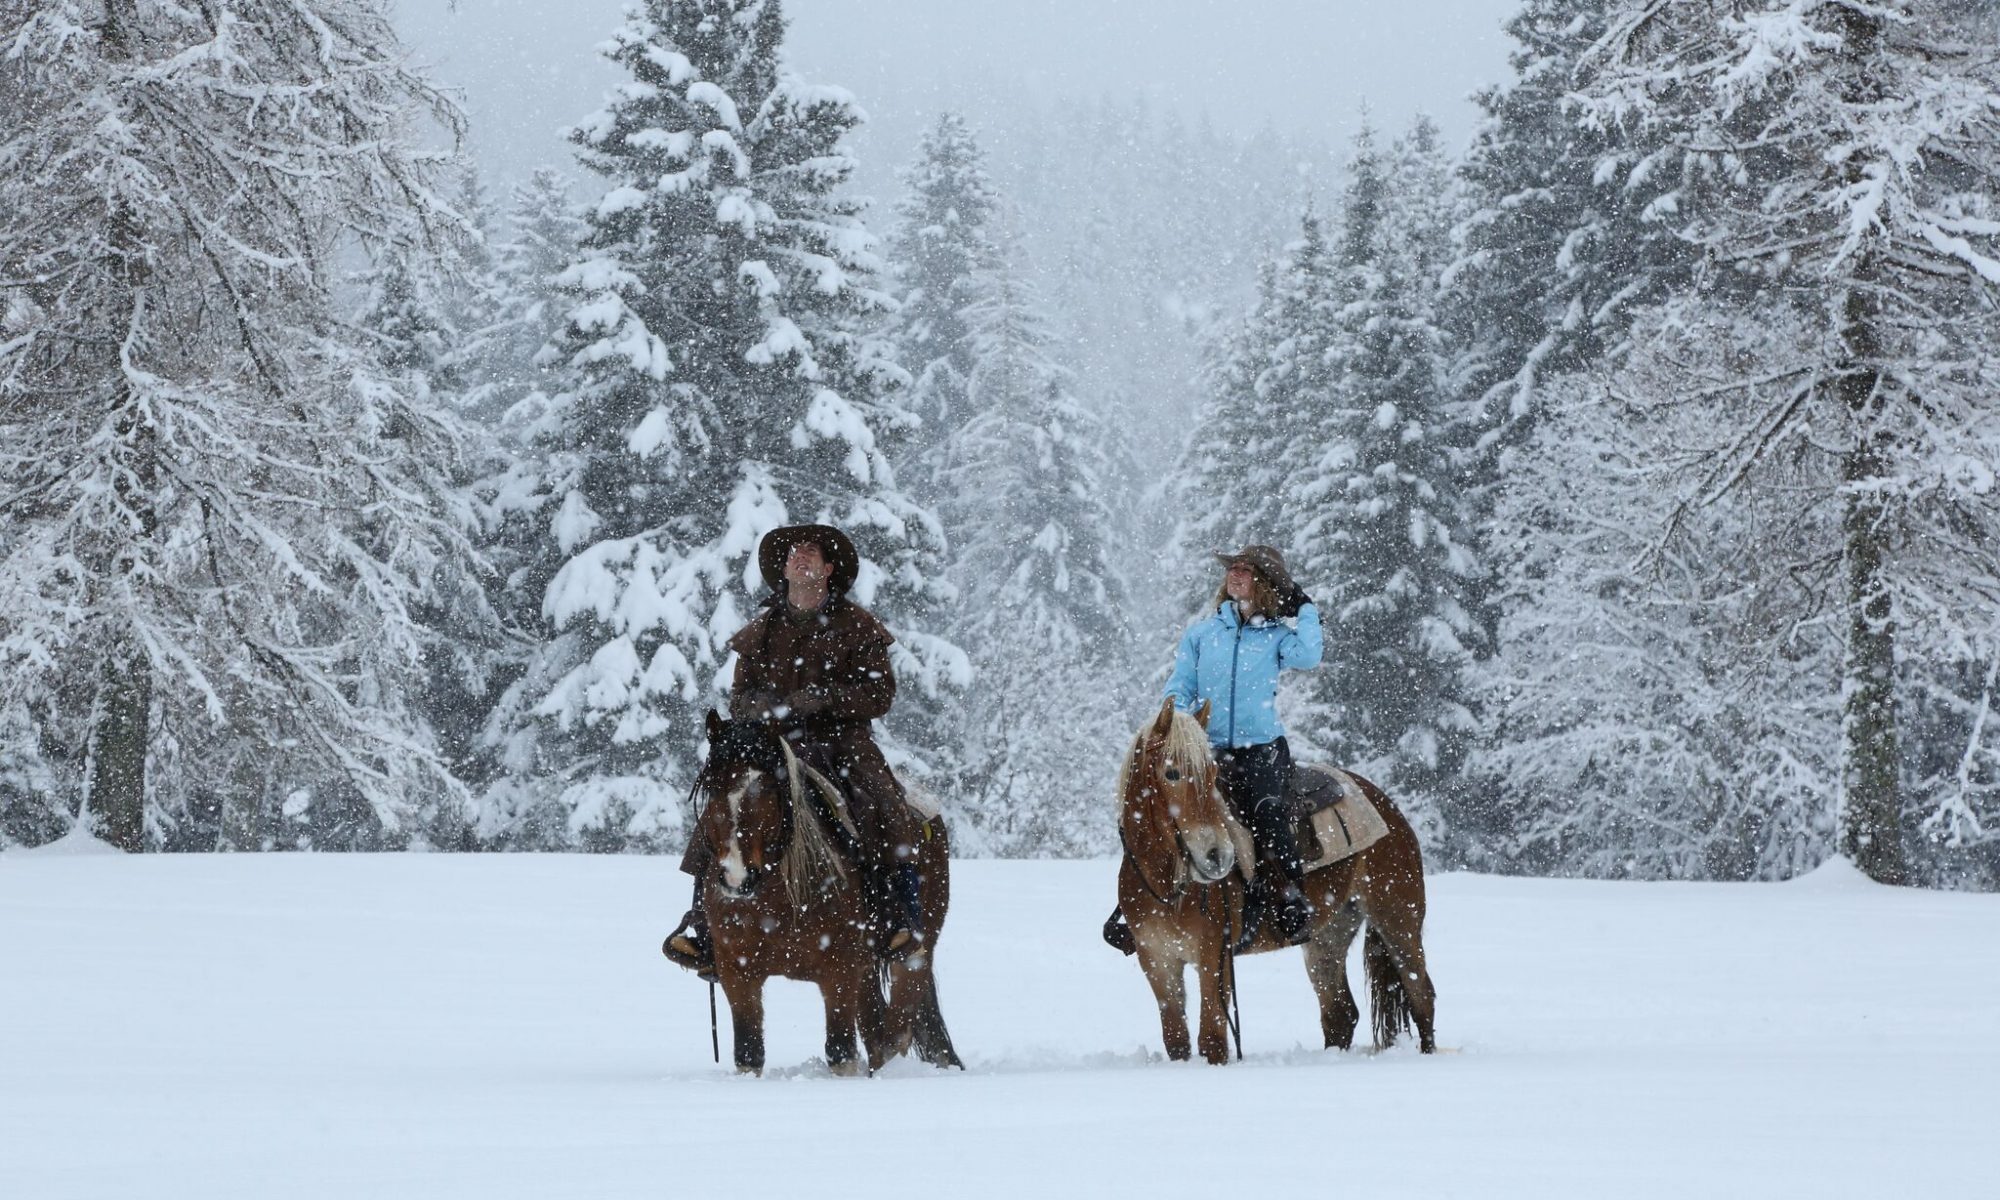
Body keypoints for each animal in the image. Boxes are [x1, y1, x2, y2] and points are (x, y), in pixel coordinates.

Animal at [692, 712, 964, 1080]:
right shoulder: (737, 971)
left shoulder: (839, 970)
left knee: (898, 1029)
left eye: (768, 786)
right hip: (866, 969)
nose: (737, 878)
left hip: (915, 951)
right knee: (878, 1033)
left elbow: (841, 1053)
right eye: (711, 786)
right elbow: (749, 1055)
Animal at [1120, 700, 1432, 1064]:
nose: (1218, 855)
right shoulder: (1157, 961)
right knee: (1340, 1013)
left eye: (1212, 775)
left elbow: (1212, 1040)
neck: (1167, 885)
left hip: (1398, 918)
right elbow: (1176, 1041)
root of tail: (1387, 806)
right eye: (1171, 773)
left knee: (1421, 994)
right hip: (1328, 935)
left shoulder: (1214, 956)